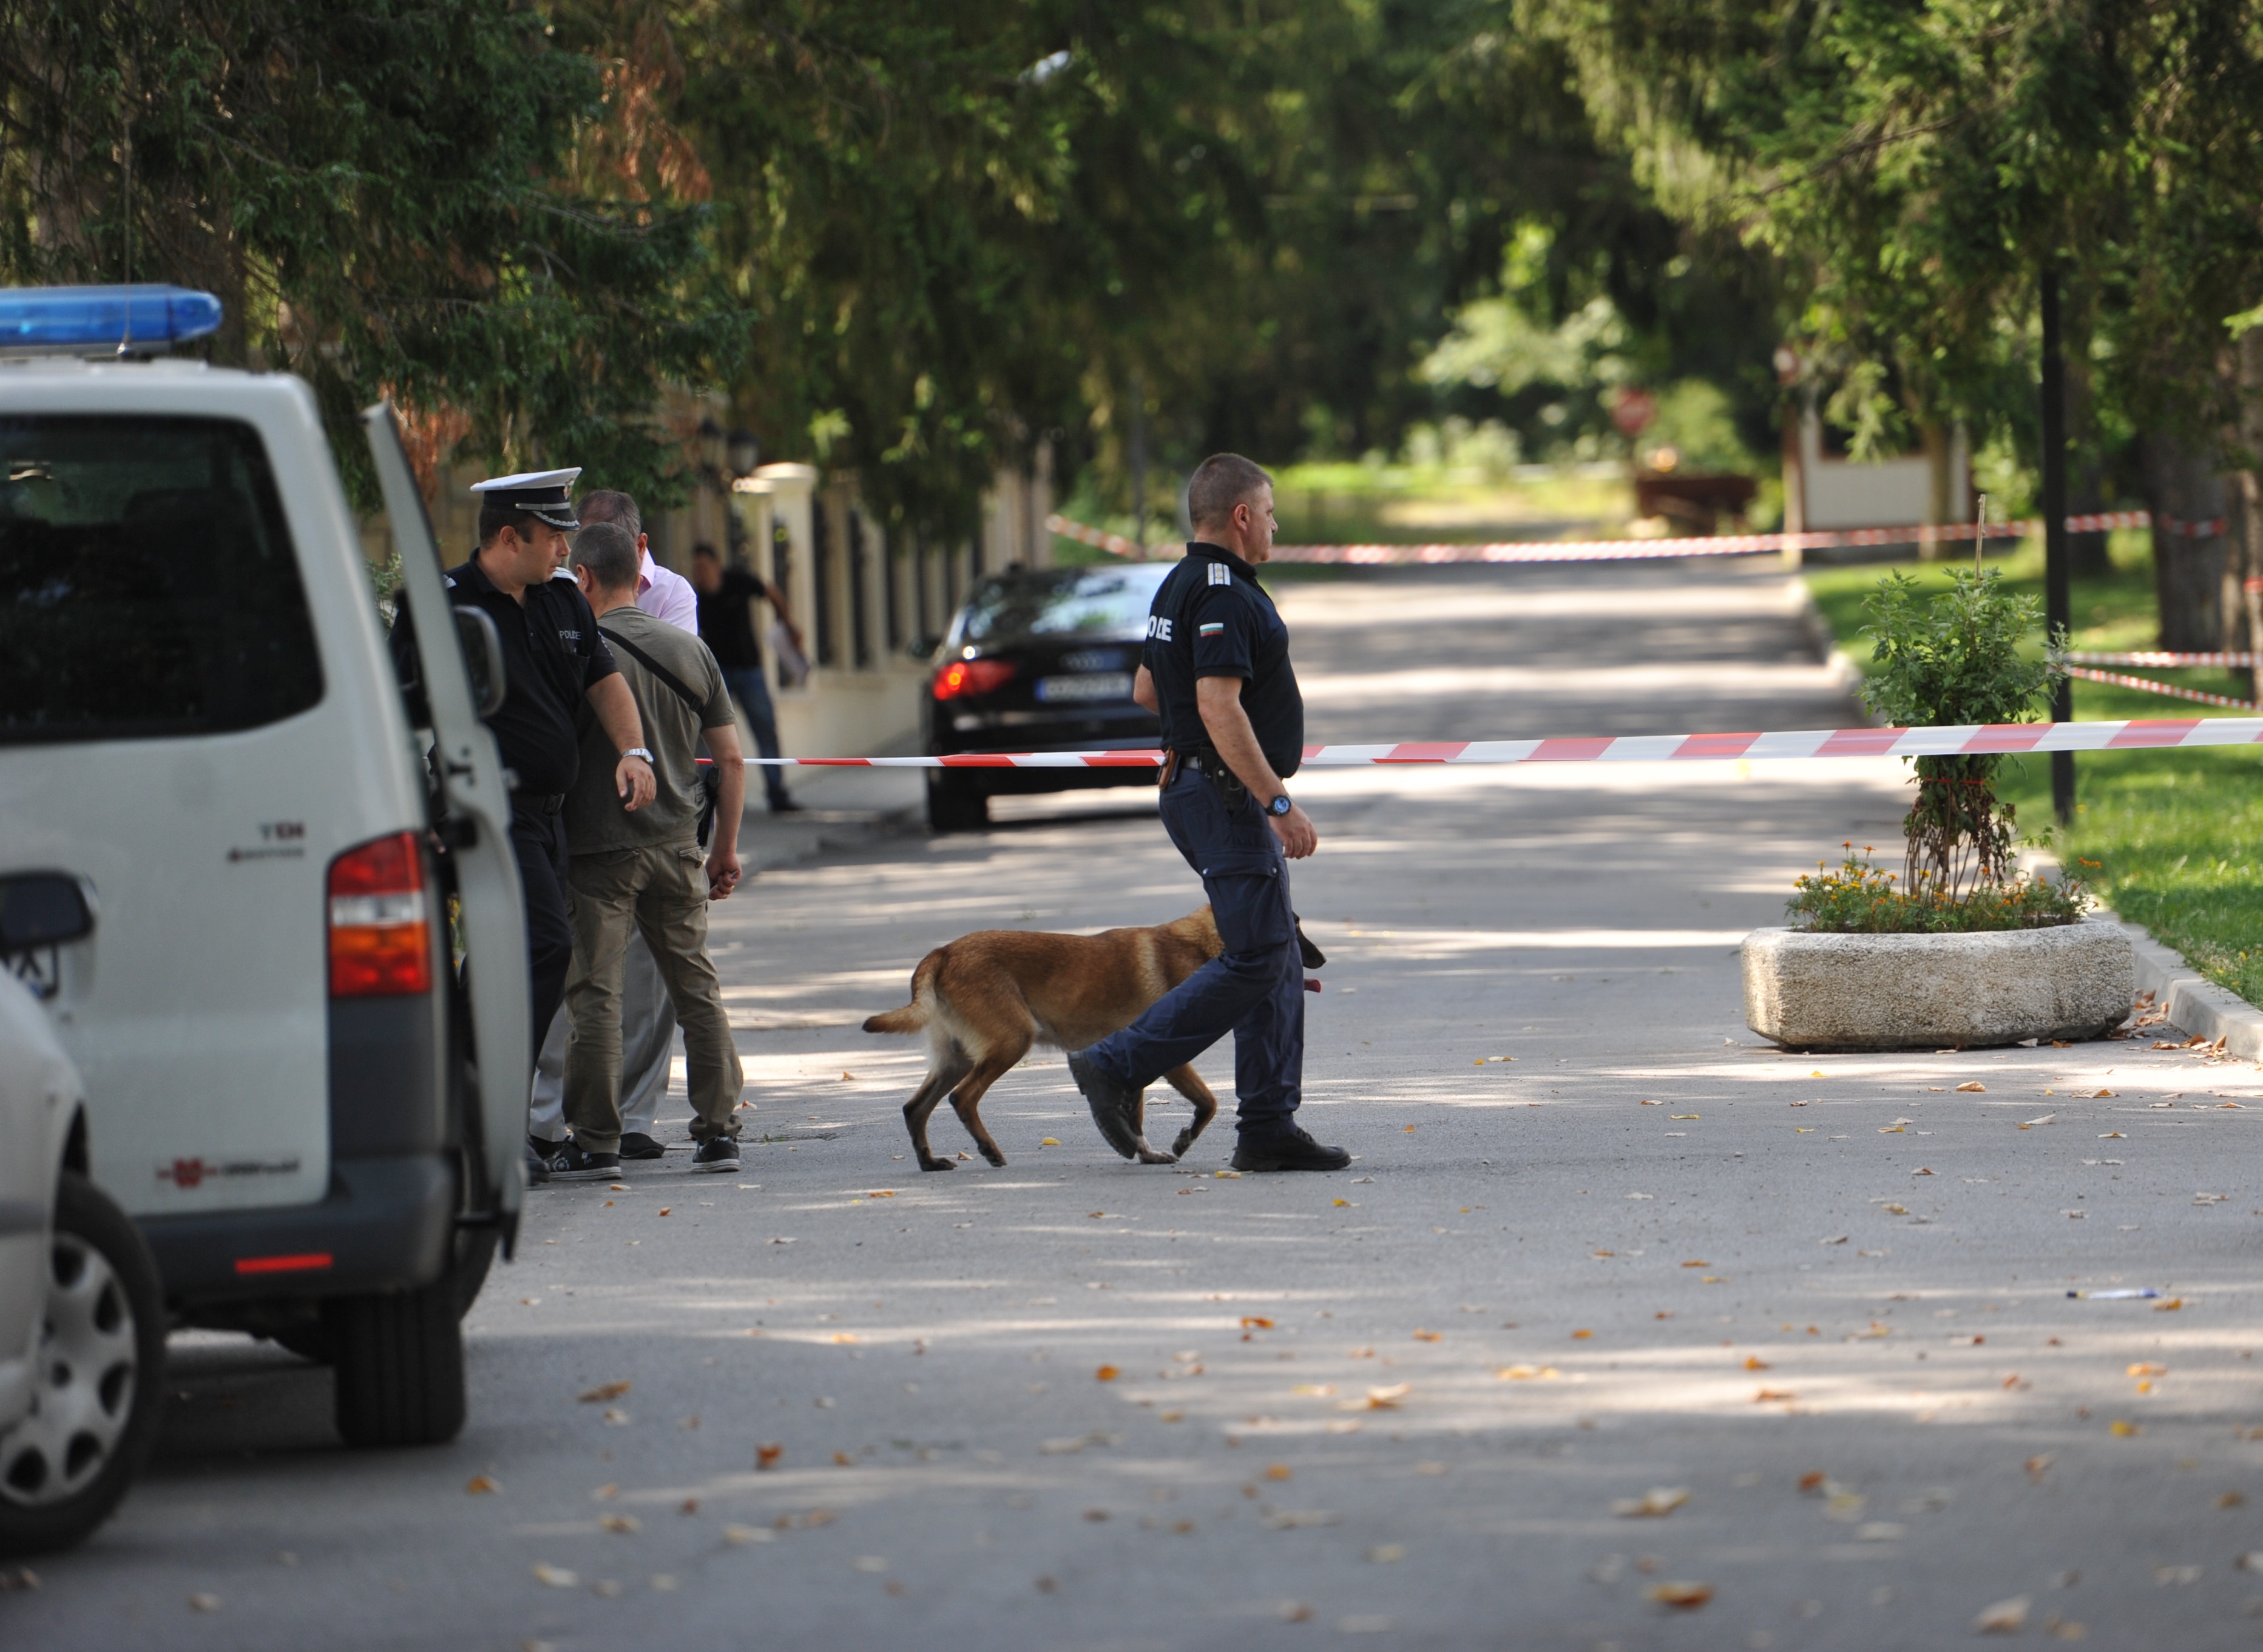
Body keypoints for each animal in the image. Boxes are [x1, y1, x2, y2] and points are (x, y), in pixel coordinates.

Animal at [860, 905, 1231, 1168]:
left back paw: (930, 1162)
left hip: (956, 1060)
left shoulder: (1134, 1063)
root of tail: (945, 951)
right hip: (1012, 1042)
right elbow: (1208, 1103)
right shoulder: (1171, 1056)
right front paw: (1182, 1140)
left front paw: (1143, 1152)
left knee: (915, 1109)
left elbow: (1135, 1120)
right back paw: (989, 1151)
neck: (1204, 943)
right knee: (962, 1098)